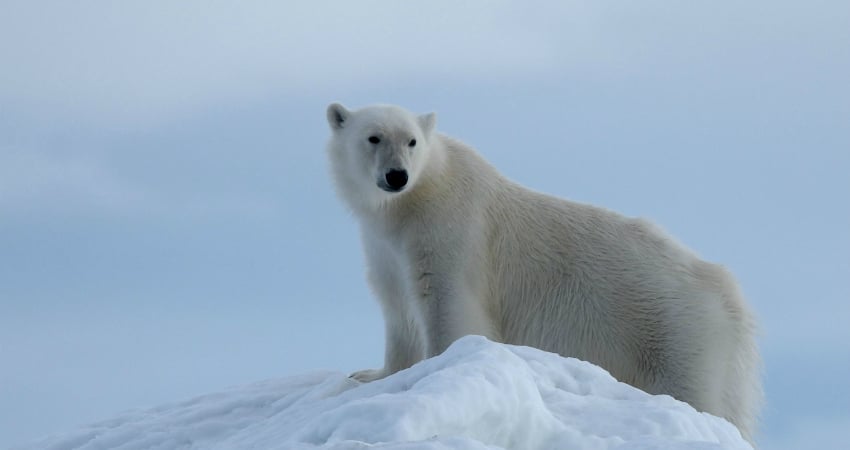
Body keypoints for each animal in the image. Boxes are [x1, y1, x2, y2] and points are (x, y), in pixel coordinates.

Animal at [324, 102, 760, 442]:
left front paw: (437, 371)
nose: (396, 175)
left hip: (677, 332)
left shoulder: (451, 231)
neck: (411, 202)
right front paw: (372, 376)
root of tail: (730, 295)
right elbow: (398, 309)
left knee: (694, 392)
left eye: (412, 141)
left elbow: (448, 304)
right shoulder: (387, 248)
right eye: (374, 137)